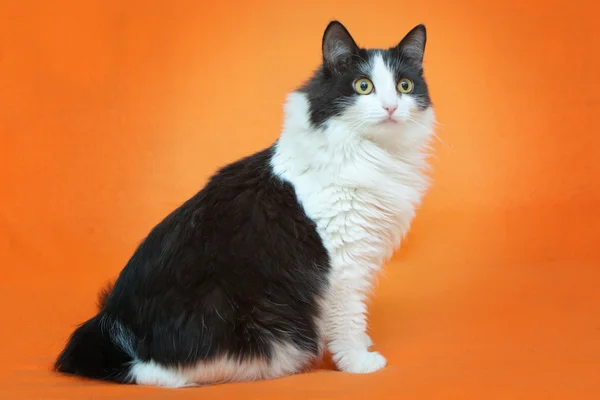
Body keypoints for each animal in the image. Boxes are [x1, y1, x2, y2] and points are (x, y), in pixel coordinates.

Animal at [54, 19, 434, 388]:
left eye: (404, 86)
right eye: (363, 86)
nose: (391, 107)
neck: (371, 152)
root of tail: (113, 325)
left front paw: (363, 347)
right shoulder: (343, 262)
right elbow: (349, 318)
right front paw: (359, 362)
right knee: (156, 373)